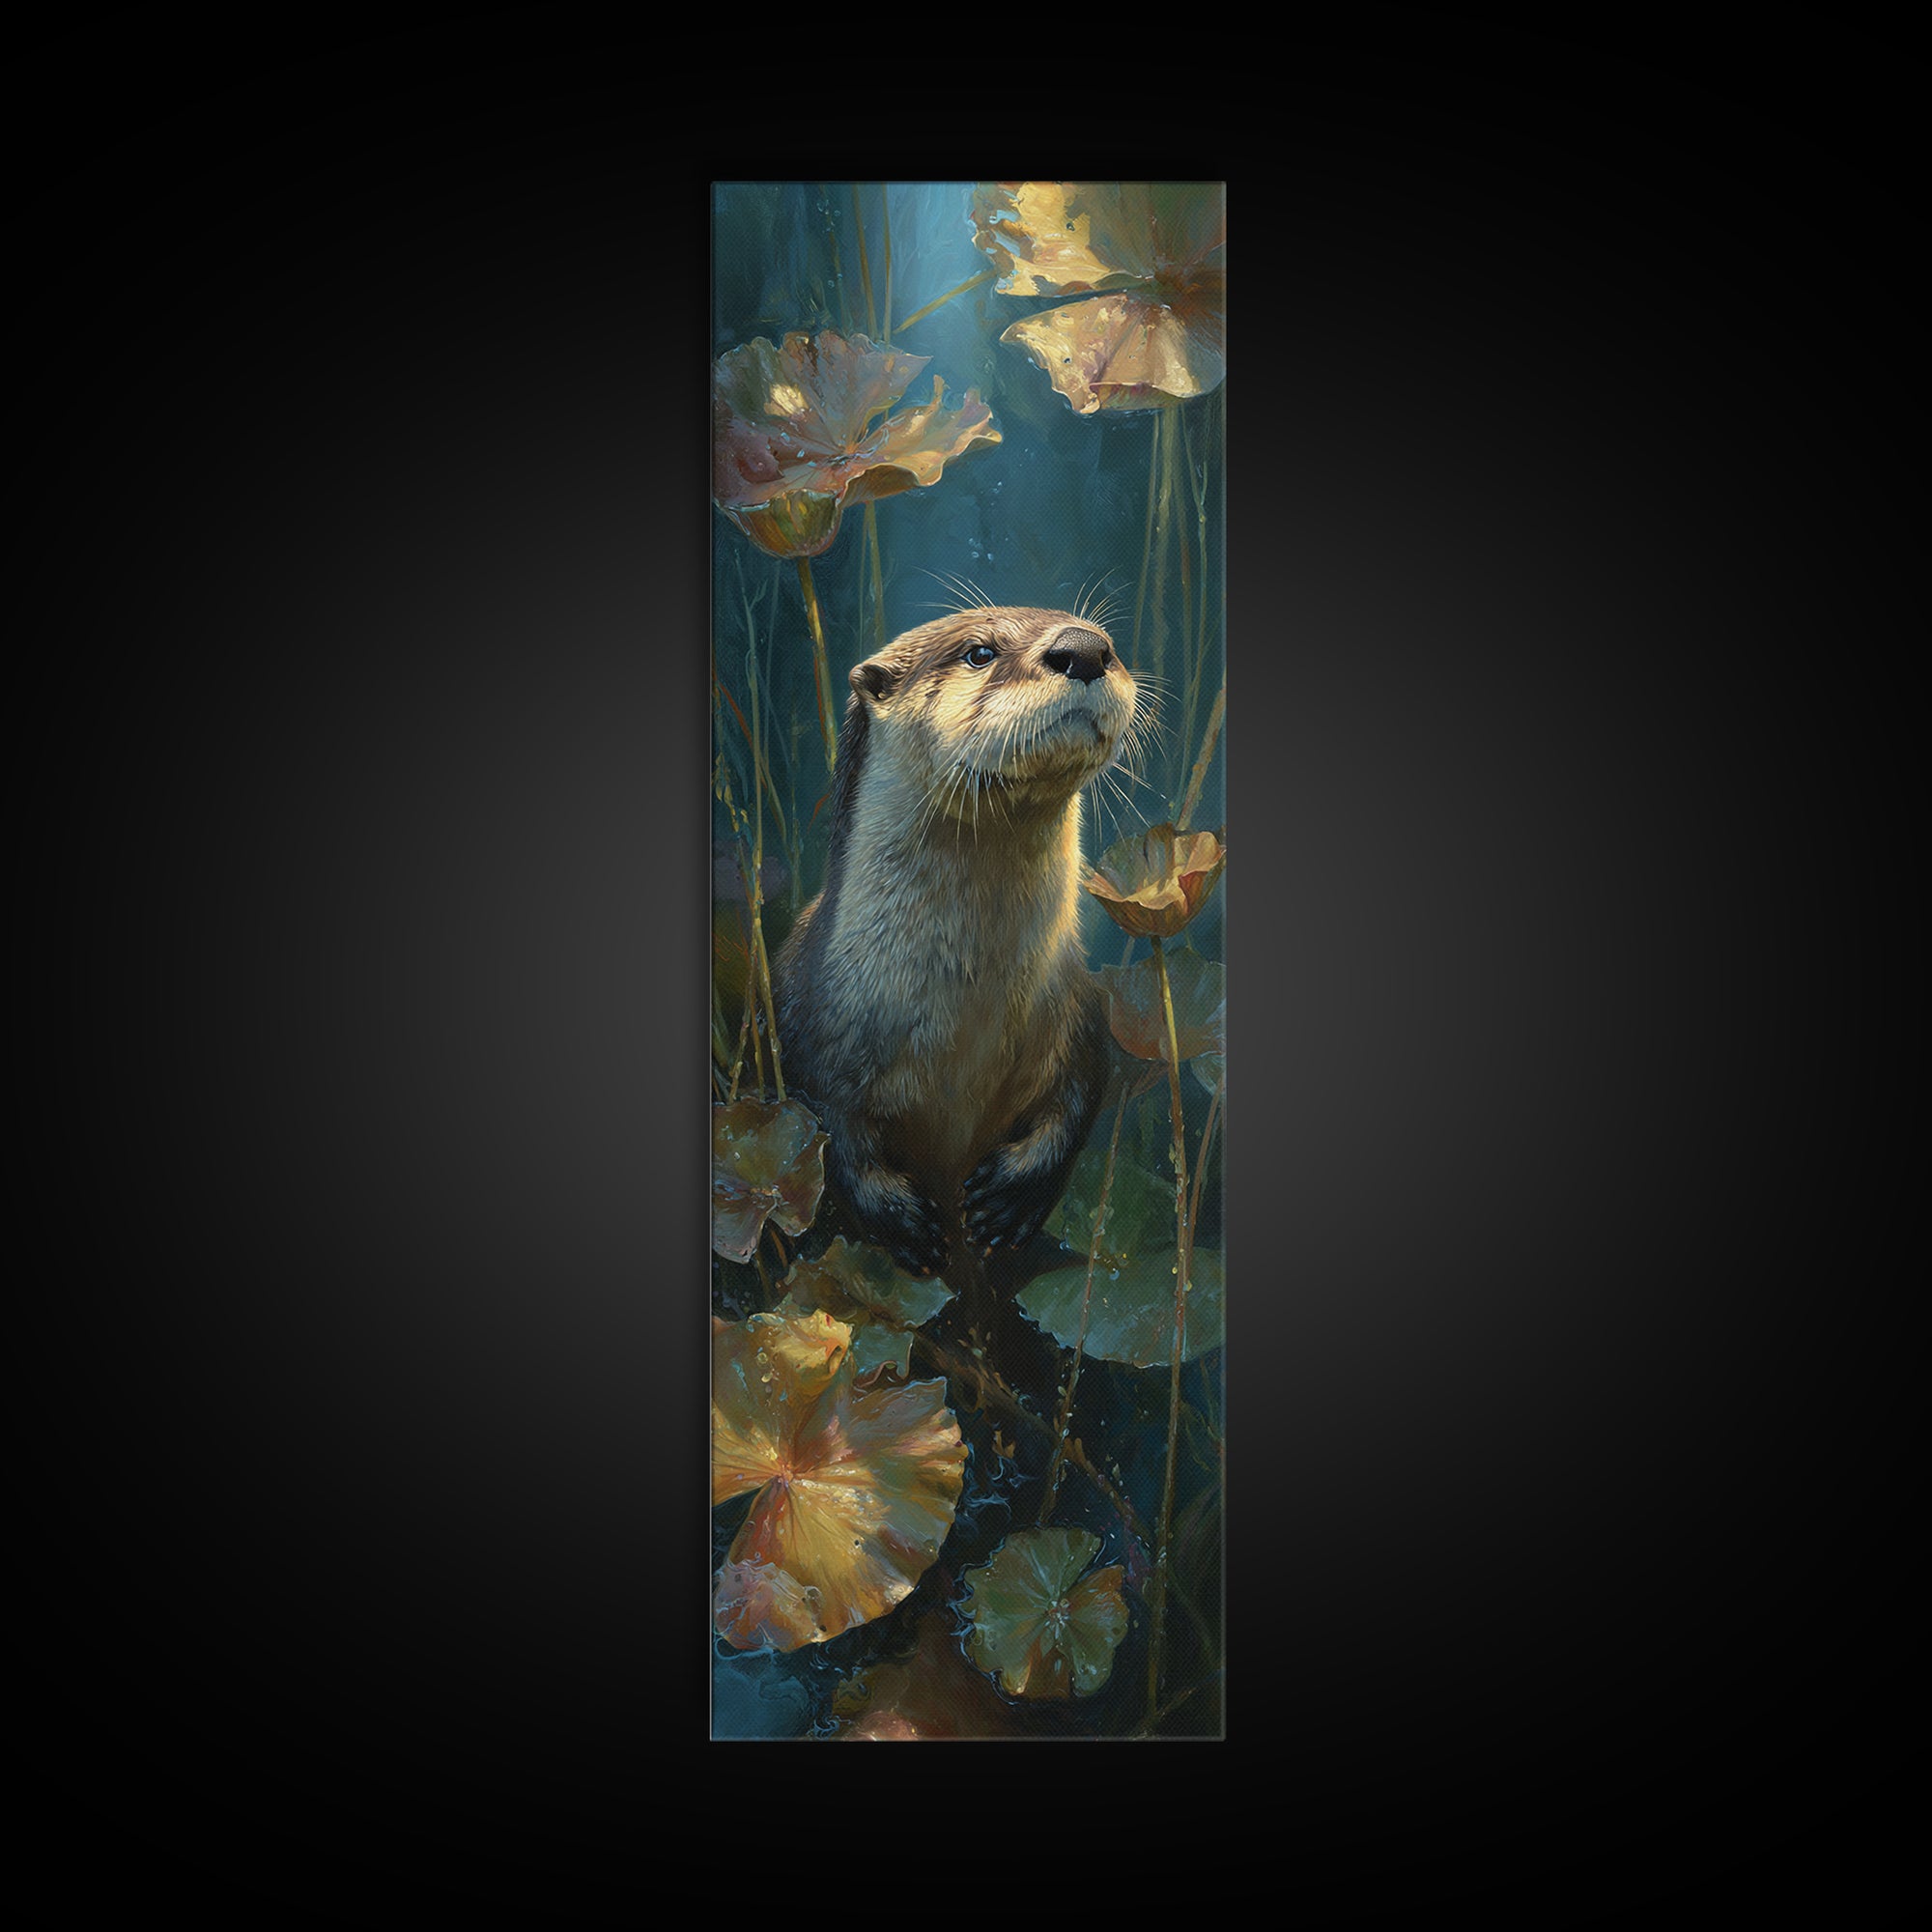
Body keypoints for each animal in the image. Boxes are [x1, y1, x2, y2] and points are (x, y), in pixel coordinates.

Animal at [774, 605, 1139, 1281]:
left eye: (1105, 639)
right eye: (979, 653)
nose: (1084, 649)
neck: (965, 1017)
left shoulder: (1078, 1008)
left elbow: (1081, 1093)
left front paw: (1012, 1198)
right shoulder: (807, 1024)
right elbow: (824, 1131)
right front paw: (901, 1222)